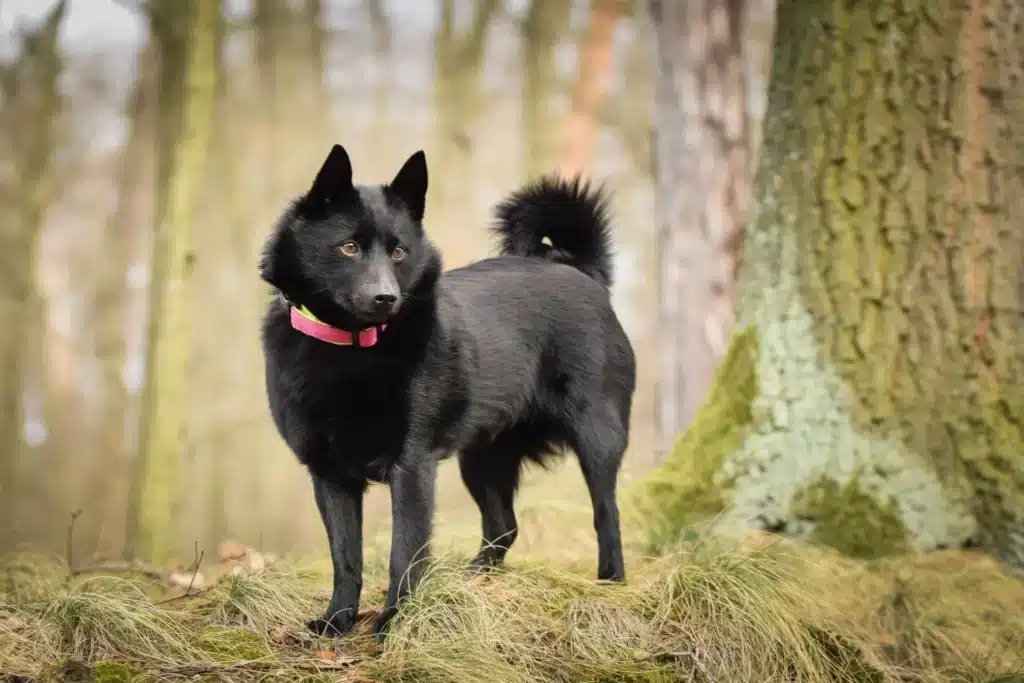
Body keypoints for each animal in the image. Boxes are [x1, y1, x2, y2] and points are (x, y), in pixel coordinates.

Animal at [260, 145, 634, 643]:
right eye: (349, 247)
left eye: (398, 251)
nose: (386, 298)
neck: (353, 348)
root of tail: (579, 270)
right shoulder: (329, 475)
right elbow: (346, 558)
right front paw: (337, 622)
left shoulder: (412, 468)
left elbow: (404, 554)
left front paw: (394, 623)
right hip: (480, 458)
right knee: (503, 527)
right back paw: (470, 581)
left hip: (597, 438)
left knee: (606, 514)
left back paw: (610, 582)